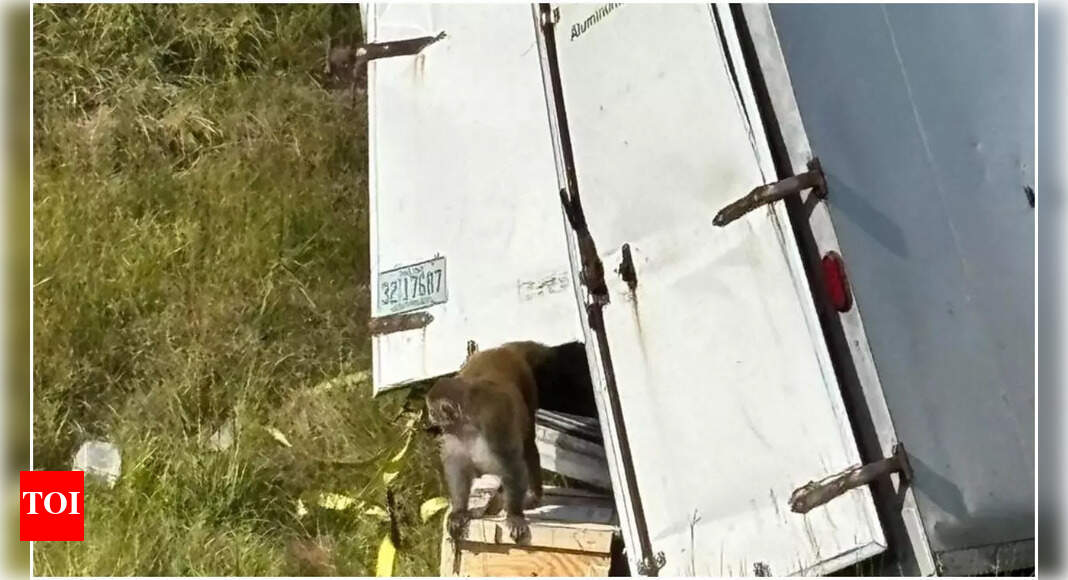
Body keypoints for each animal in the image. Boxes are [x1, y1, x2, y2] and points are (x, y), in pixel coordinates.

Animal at [426, 341, 548, 545]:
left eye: (432, 411)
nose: (429, 417)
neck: (468, 421)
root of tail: (502, 349)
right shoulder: (454, 432)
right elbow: (457, 466)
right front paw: (459, 511)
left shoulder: (493, 421)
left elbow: (511, 464)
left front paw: (514, 515)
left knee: (528, 444)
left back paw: (532, 494)